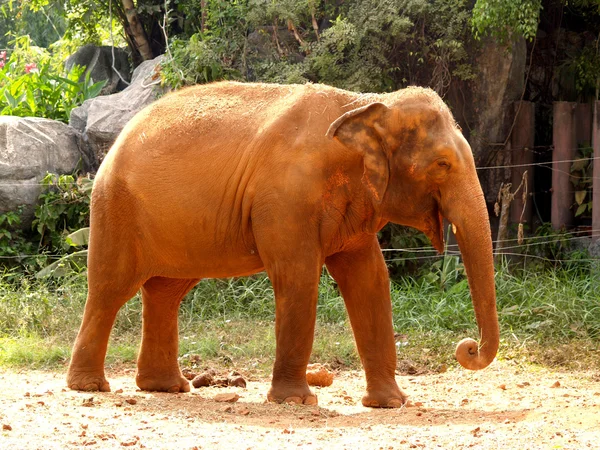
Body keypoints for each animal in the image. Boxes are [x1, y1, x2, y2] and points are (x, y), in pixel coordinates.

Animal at [65, 81, 500, 408]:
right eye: (442, 164)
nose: (467, 347)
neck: (365, 103)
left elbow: (370, 280)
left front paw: (390, 404)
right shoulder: (286, 197)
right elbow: (298, 277)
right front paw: (295, 401)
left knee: (166, 292)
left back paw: (166, 387)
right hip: (115, 207)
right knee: (110, 288)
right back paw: (90, 387)